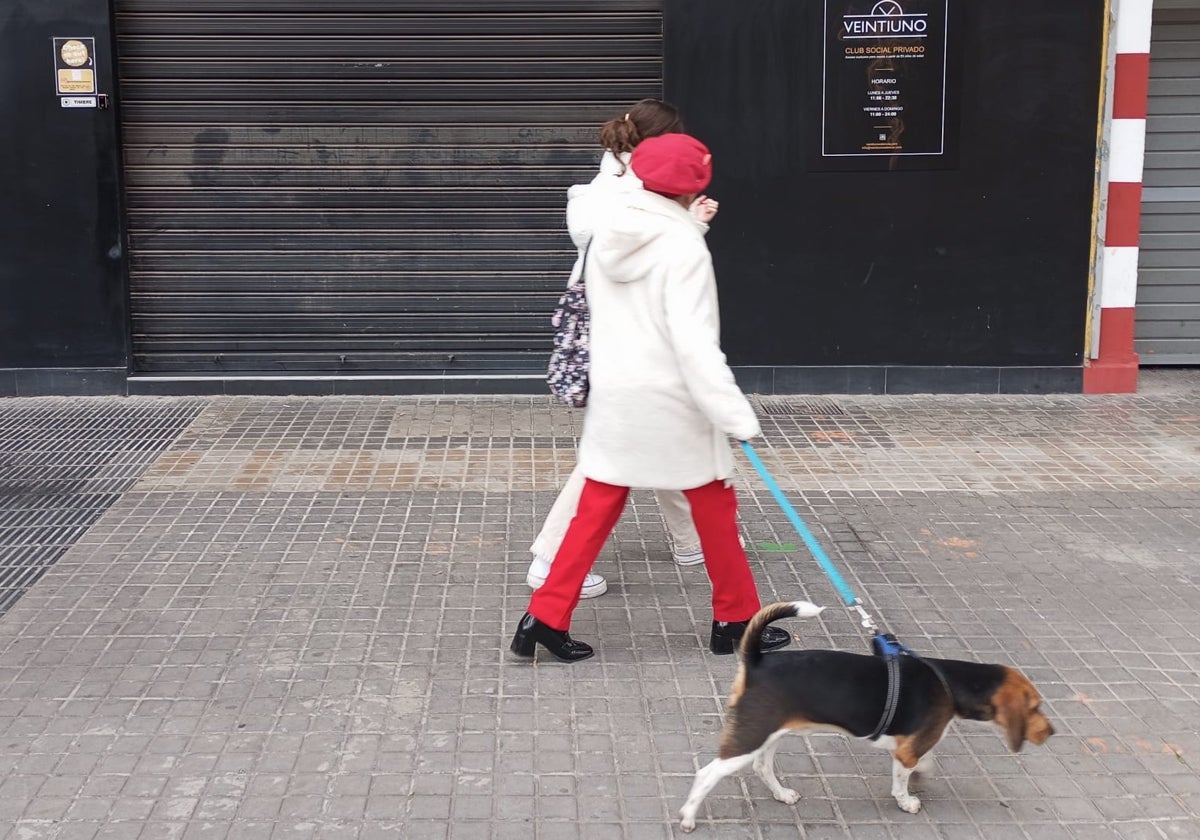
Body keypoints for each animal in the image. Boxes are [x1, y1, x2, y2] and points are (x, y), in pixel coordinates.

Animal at [681, 600, 1056, 830]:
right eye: (1035, 707)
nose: (1052, 732)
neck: (949, 682)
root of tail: (756, 661)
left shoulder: (914, 744)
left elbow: (925, 761)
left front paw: (921, 778)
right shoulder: (906, 752)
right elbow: (902, 781)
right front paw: (907, 801)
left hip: (771, 733)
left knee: (762, 767)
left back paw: (783, 794)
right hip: (750, 736)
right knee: (706, 774)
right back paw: (687, 817)